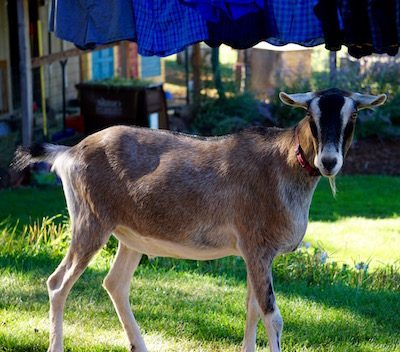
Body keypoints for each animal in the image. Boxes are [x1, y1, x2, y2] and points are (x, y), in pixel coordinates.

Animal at [12, 88, 386, 352]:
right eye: (310, 115)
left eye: (353, 116)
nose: (329, 161)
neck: (282, 164)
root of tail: (68, 153)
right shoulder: (256, 246)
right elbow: (273, 317)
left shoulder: (253, 254)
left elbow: (252, 308)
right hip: (89, 222)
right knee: (58, 283)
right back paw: (57, 345)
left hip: (129, 236)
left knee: (115, 283)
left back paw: (140, 346)